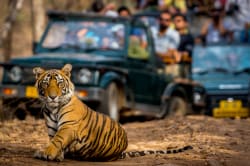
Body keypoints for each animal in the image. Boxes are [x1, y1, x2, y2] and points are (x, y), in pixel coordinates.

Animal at [32, 63, 193, 162]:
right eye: (46, 83)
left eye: (59, 83)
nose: (53, 97)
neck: (53, 108)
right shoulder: (52, 129)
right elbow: (54, 140)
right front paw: (55, 155)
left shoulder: (68, 126)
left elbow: (57, 140)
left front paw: (46, 153)